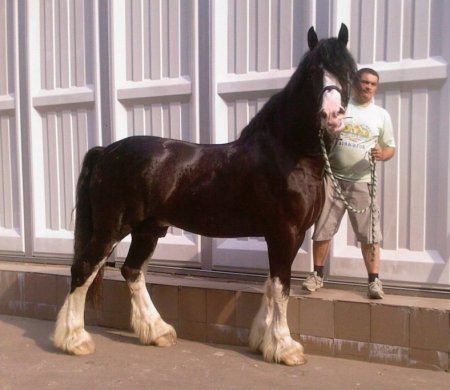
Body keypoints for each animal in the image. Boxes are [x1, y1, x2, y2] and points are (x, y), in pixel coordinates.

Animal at [54, 24, 356, 366]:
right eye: (313, 73)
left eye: (347, 71)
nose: (332, 116)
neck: (286, 152)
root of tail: (106, 151)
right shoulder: (285, 232)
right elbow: (281, 287)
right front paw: (284, 347)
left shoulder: (288, 235)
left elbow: (269, 284)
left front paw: (262, 340)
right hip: (112, 228)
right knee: (84, 268)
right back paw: (75, 340)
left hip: (148, 230)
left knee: (131, 271)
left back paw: (158, 331)